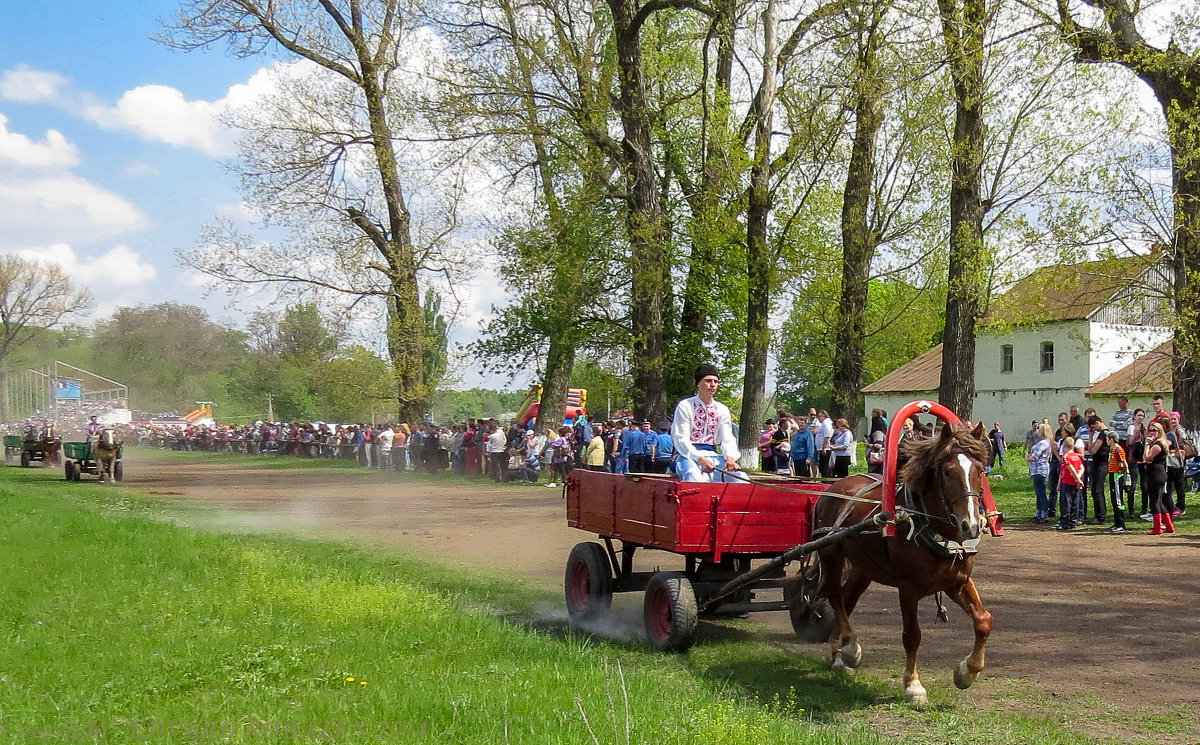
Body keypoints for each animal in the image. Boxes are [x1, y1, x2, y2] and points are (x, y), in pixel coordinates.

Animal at [816, 422, 993, 705]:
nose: (972, 525)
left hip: (863, 569)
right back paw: (850, 646)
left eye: (980, 469)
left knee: (846, 599)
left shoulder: (957, 582)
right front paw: (913, 685)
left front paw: (967, 672)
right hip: (831, 554)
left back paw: (838, 655)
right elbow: (912, 636)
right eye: (947, 471)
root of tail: (833, 487)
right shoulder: (908, 589)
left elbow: (984, 620)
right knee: (834, 595)